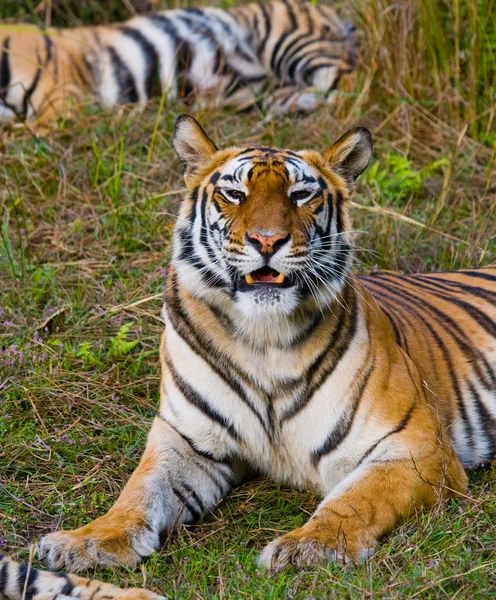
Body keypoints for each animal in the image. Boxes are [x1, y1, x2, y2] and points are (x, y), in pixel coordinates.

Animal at [2, 113, 488, 592]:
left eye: (301, 195)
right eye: (234, 194)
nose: (267, 241)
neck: (263, 339)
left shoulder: (415, 447)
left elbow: (358, 499)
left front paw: (307, 547)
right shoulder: (187, 439)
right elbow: (137, 493)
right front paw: (85, 542)